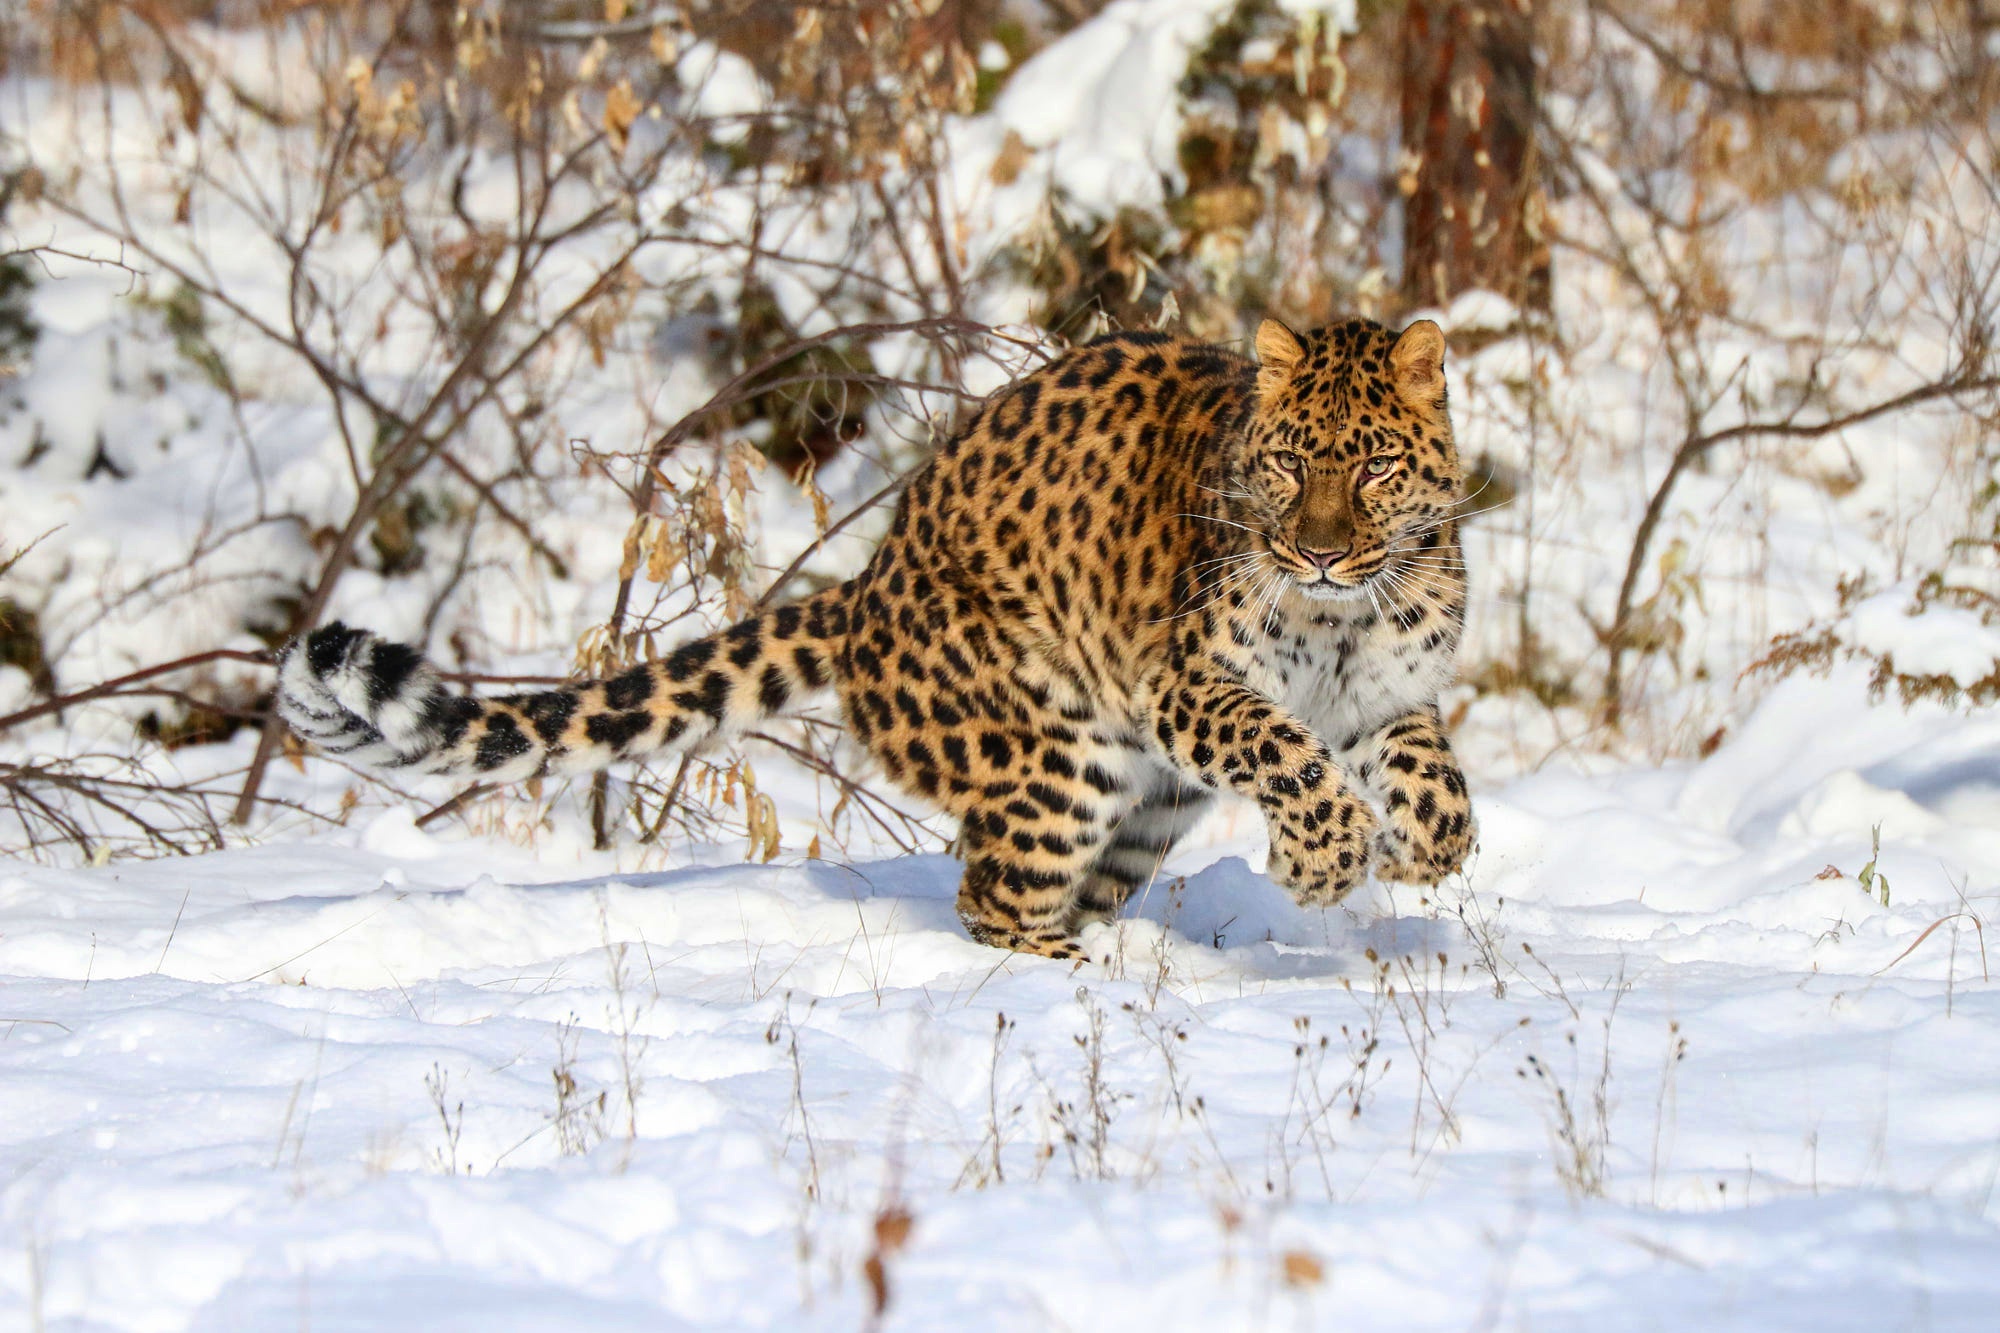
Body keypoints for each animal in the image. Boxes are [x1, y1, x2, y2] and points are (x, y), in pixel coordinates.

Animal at [278, 316, 1476, 958]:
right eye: (1287, 464)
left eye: (1373, 466)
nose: (1315, 553)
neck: (1344, 615)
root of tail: (866, 588)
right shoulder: (1186, 682)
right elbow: (1285, 752)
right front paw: (1325, 860)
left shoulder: (1384, 699)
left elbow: (1441, 789)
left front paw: (1412, 849)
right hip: (1062, 750)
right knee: (992, 899)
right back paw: (1077, 981)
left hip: (1148, 798)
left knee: (1062, 883)